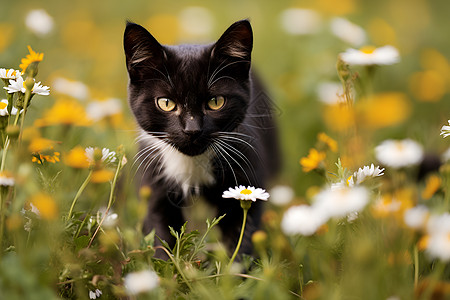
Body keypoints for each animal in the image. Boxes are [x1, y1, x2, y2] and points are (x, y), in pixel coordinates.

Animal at [122, 18, 278, 258]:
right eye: (166, 103)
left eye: (216, 102)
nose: (192, 130)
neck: (192, 164)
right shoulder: (154, 180)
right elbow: (160, 231)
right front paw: (167, 265)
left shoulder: (246, 169)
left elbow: (242, 232)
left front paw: (234, 266)